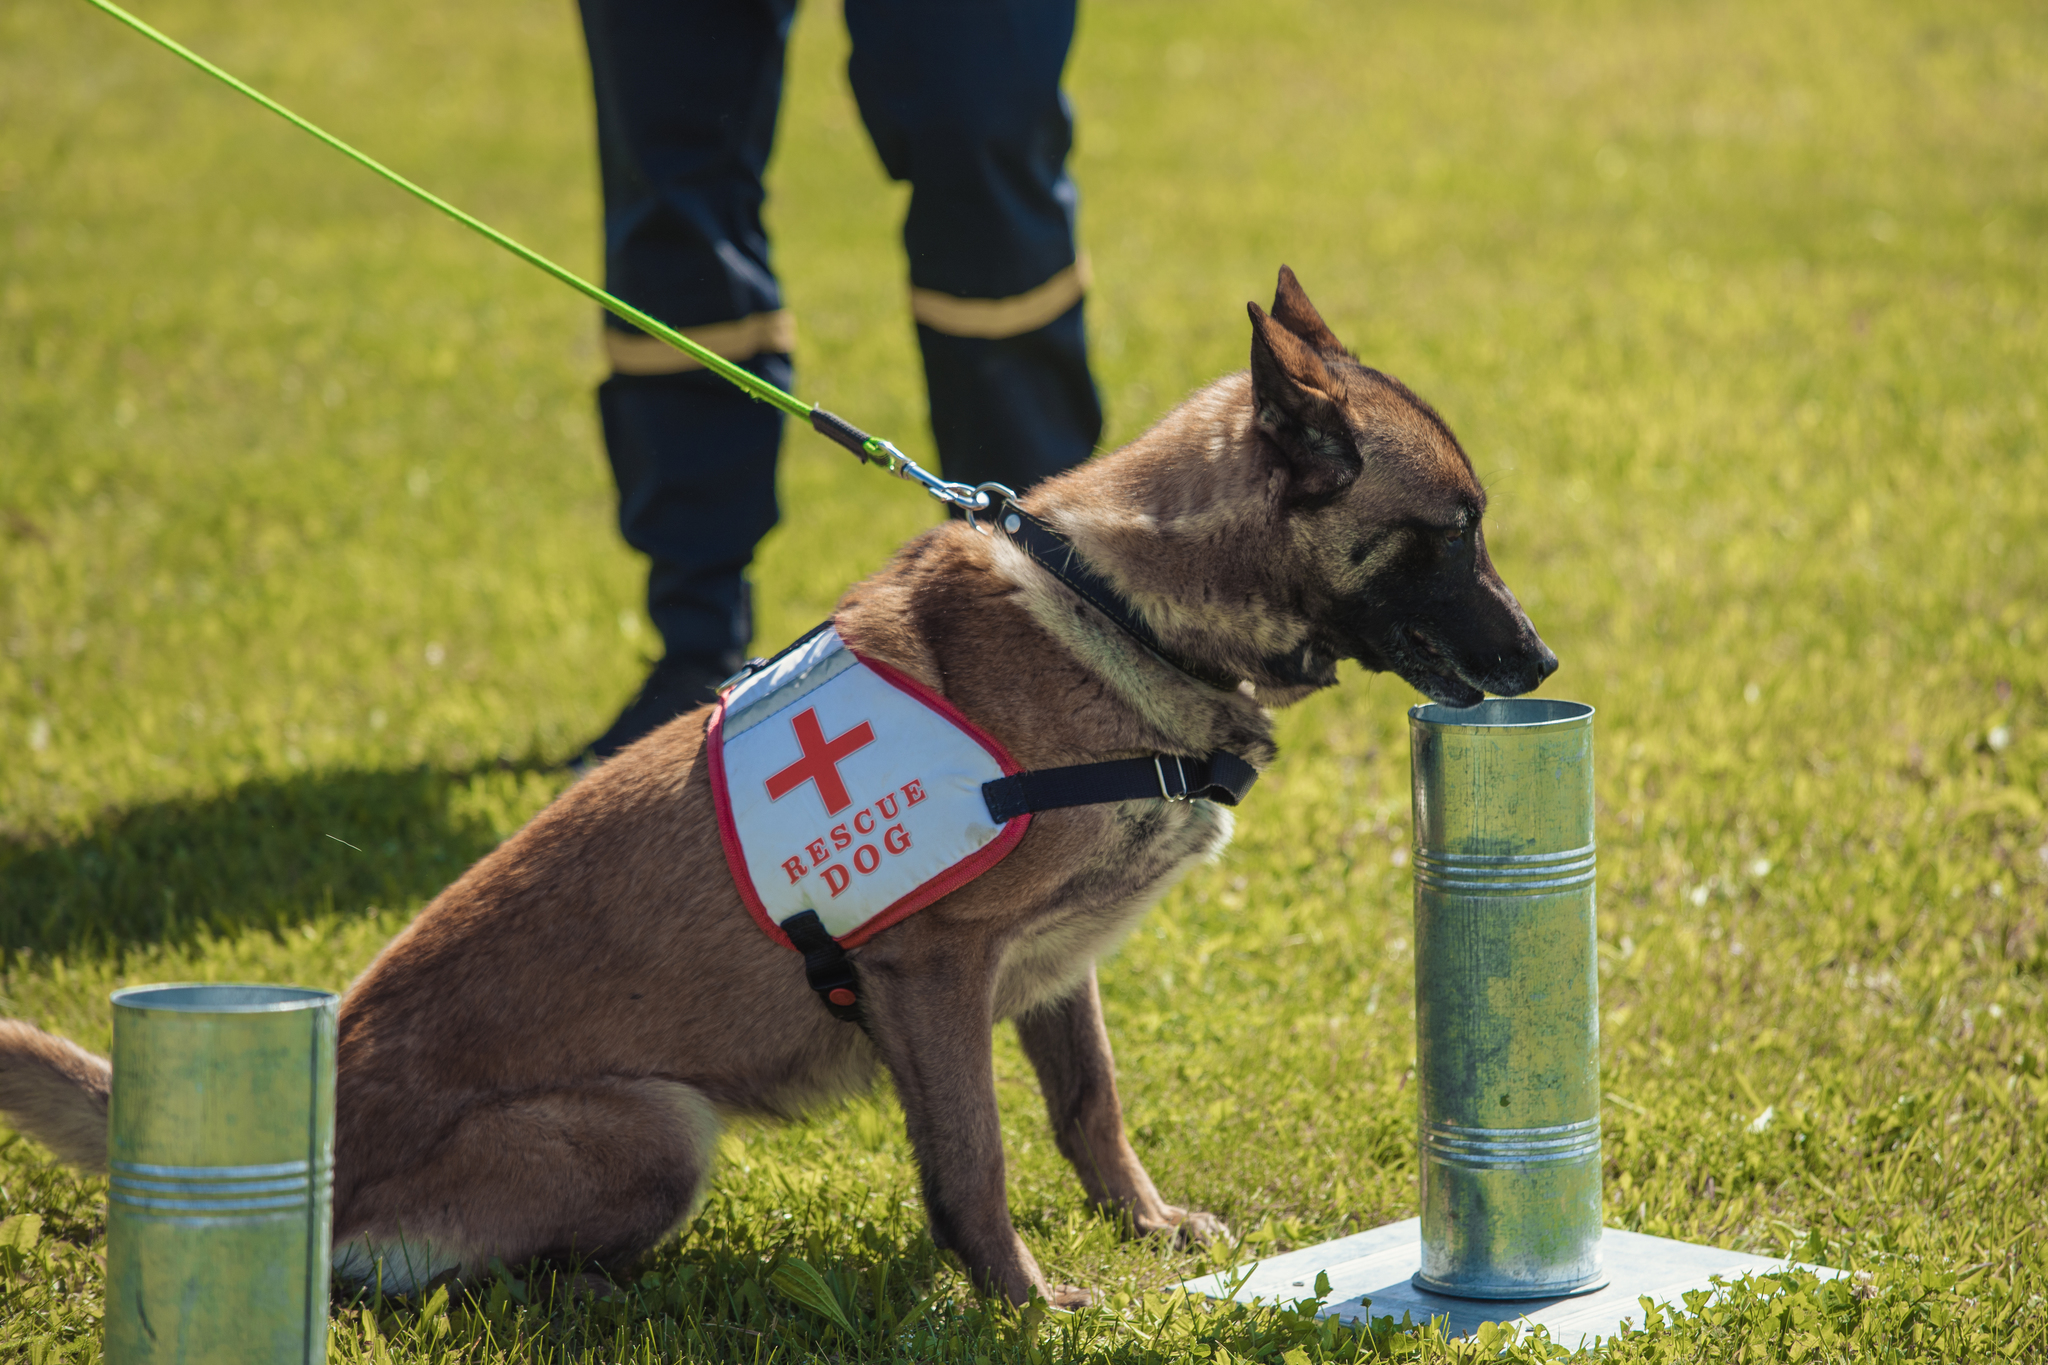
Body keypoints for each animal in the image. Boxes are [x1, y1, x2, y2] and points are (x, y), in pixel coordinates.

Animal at [0, 263, 1548, 1301]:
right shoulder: (934, 975)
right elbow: (976, 1163)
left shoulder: (1051, 972)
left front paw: (1146, 1229)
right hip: (658, 1126)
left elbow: (1088, 1109)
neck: (1123, 607)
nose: (1538, 659)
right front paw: (1023, 1303)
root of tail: (323, 1126)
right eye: (1449, 532)